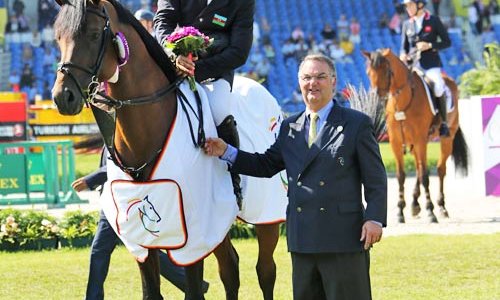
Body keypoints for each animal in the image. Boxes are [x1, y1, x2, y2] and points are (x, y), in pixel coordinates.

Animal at [52, 1, 284, 298]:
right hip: (218, 222)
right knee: (230, 269)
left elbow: (194, 290)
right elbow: (151, 290)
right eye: (59, 38)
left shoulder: (192, 235)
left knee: (265, 271)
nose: (63, 97)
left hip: (266, 216)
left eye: (93, 35)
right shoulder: (142, 239)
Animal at [362, 48, 466, 223]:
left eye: (386, 72)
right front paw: (400, 212)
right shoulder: (396, 143)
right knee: (418, 168)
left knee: (440, 169)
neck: (402, 103)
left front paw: (430, 211)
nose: (376, 98)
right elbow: (401, 175)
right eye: (368, 72)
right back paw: (415, 205)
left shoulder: (420, 140)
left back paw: (441, 207)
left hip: (446, 139)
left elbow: (425, 175)